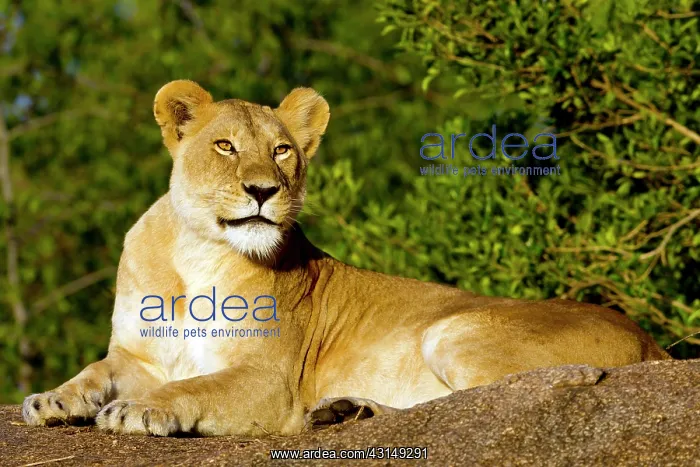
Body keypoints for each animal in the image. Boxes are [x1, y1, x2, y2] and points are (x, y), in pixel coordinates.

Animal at [22, 80, 670, 436]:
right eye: (225, 146)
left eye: (282, 151)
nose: (264, 190)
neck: (197, 251)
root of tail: (651, 344)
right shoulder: (139, 355)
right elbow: (96, 372)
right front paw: (51, 400)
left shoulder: (271, 384)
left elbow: (192, 389)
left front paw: (137, 411)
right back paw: (341, 412)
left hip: (454, 334)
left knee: (481, 399)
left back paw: (343, 412)